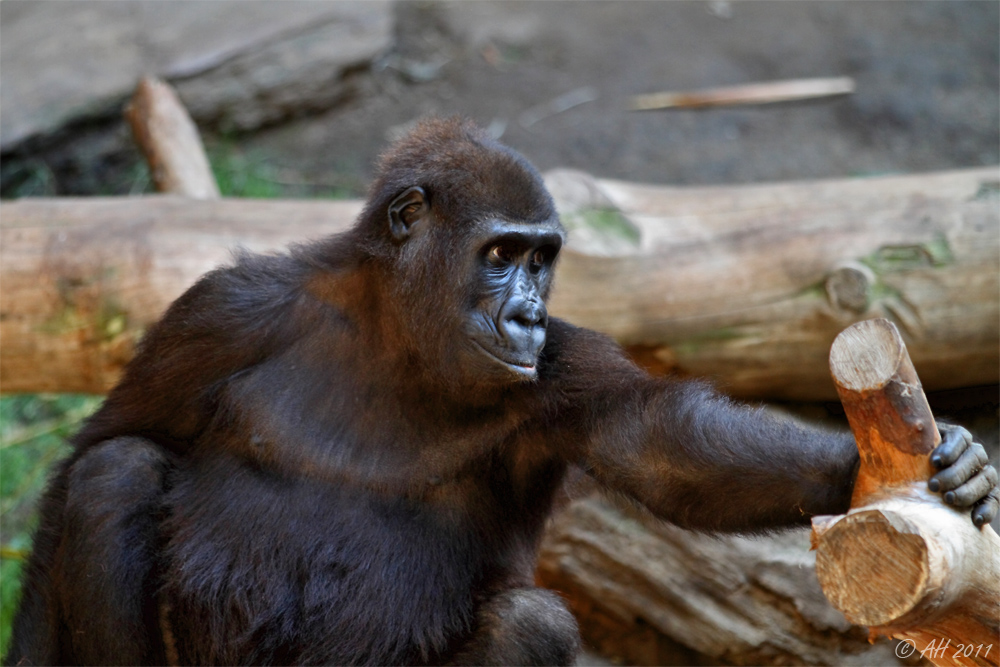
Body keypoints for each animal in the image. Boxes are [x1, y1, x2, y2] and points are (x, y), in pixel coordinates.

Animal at [7, 120, 1000, 667]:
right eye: (500, 253)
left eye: (543, 260)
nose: (525, 315)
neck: (394, 330)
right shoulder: (221, 312)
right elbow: (99, 447)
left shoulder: (564, 371)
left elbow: (663, 447)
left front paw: (900, 468)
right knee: (114, 473)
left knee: (533, 620)